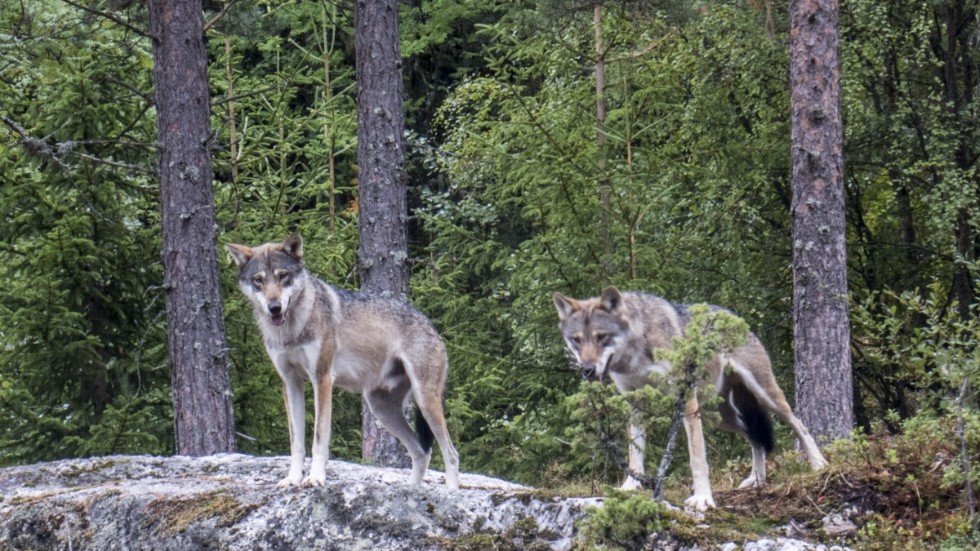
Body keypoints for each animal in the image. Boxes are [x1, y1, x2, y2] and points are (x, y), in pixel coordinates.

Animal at [228, 235, 462, 490]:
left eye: (283, 276)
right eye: (259, 280)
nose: (274, 307)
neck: (292, 330)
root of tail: (433, 327)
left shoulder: (322, 379)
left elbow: (319, 438)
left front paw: (315, 478)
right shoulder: (290, 383)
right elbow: (296, 442)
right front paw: (293, 479)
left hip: (425, 401)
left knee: (450, 452)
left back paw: (450, 491)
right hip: (381, 408)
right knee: (421, 452)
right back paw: (412, 489)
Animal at [552, 286, 828, 512]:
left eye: (601, 336)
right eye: (576, 340)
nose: (587, 370)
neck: (636, 352)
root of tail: (733, 315)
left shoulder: (685, 400)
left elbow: (697, 456)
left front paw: (703, 498)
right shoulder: (635, 403)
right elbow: (634, 451)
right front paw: (630, 486)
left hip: (763, 395)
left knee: (798, 425)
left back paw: (819, 465)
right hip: (719, 416)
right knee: (755, 439)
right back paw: (757, 480)